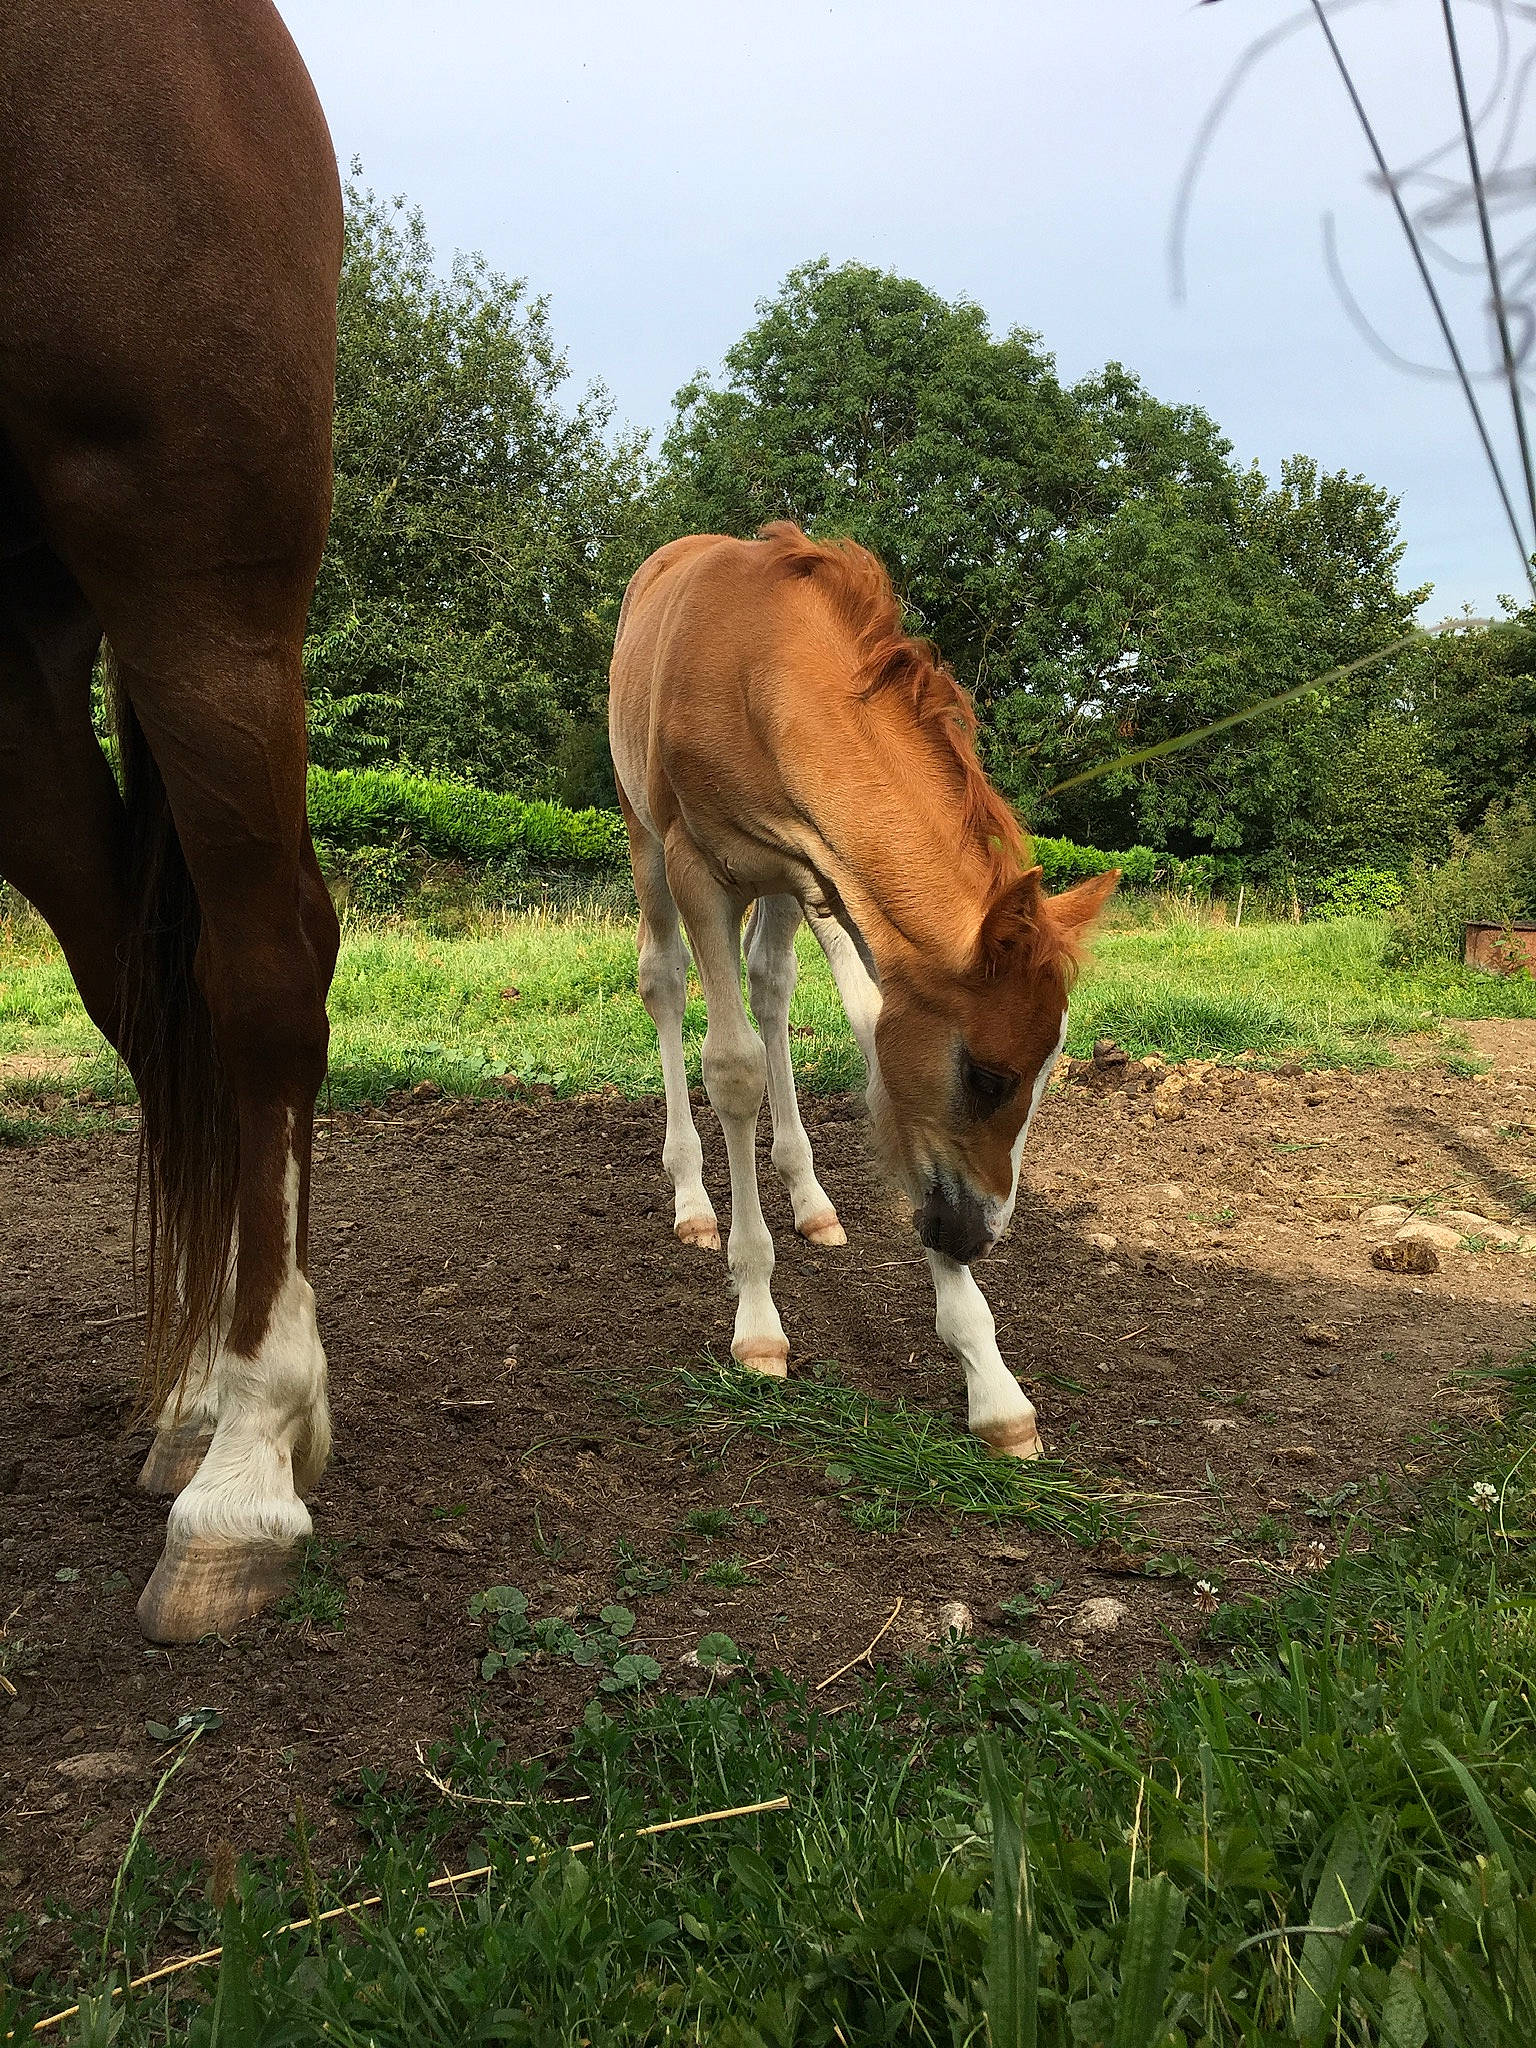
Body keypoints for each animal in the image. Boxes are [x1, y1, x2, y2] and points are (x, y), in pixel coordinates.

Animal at [609, 522, 1117, 1459]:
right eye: (987, 1075)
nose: (975, 1236)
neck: (763, 670)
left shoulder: (834, 883)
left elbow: (883, 1068)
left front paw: (993, 1386)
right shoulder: (701, 870)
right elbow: (730, 1068)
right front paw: (757, 1321)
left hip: (785, 887)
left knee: (771, 987)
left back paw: (810, 1200)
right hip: (645, 836)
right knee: (664, 983)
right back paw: (693, 1200)